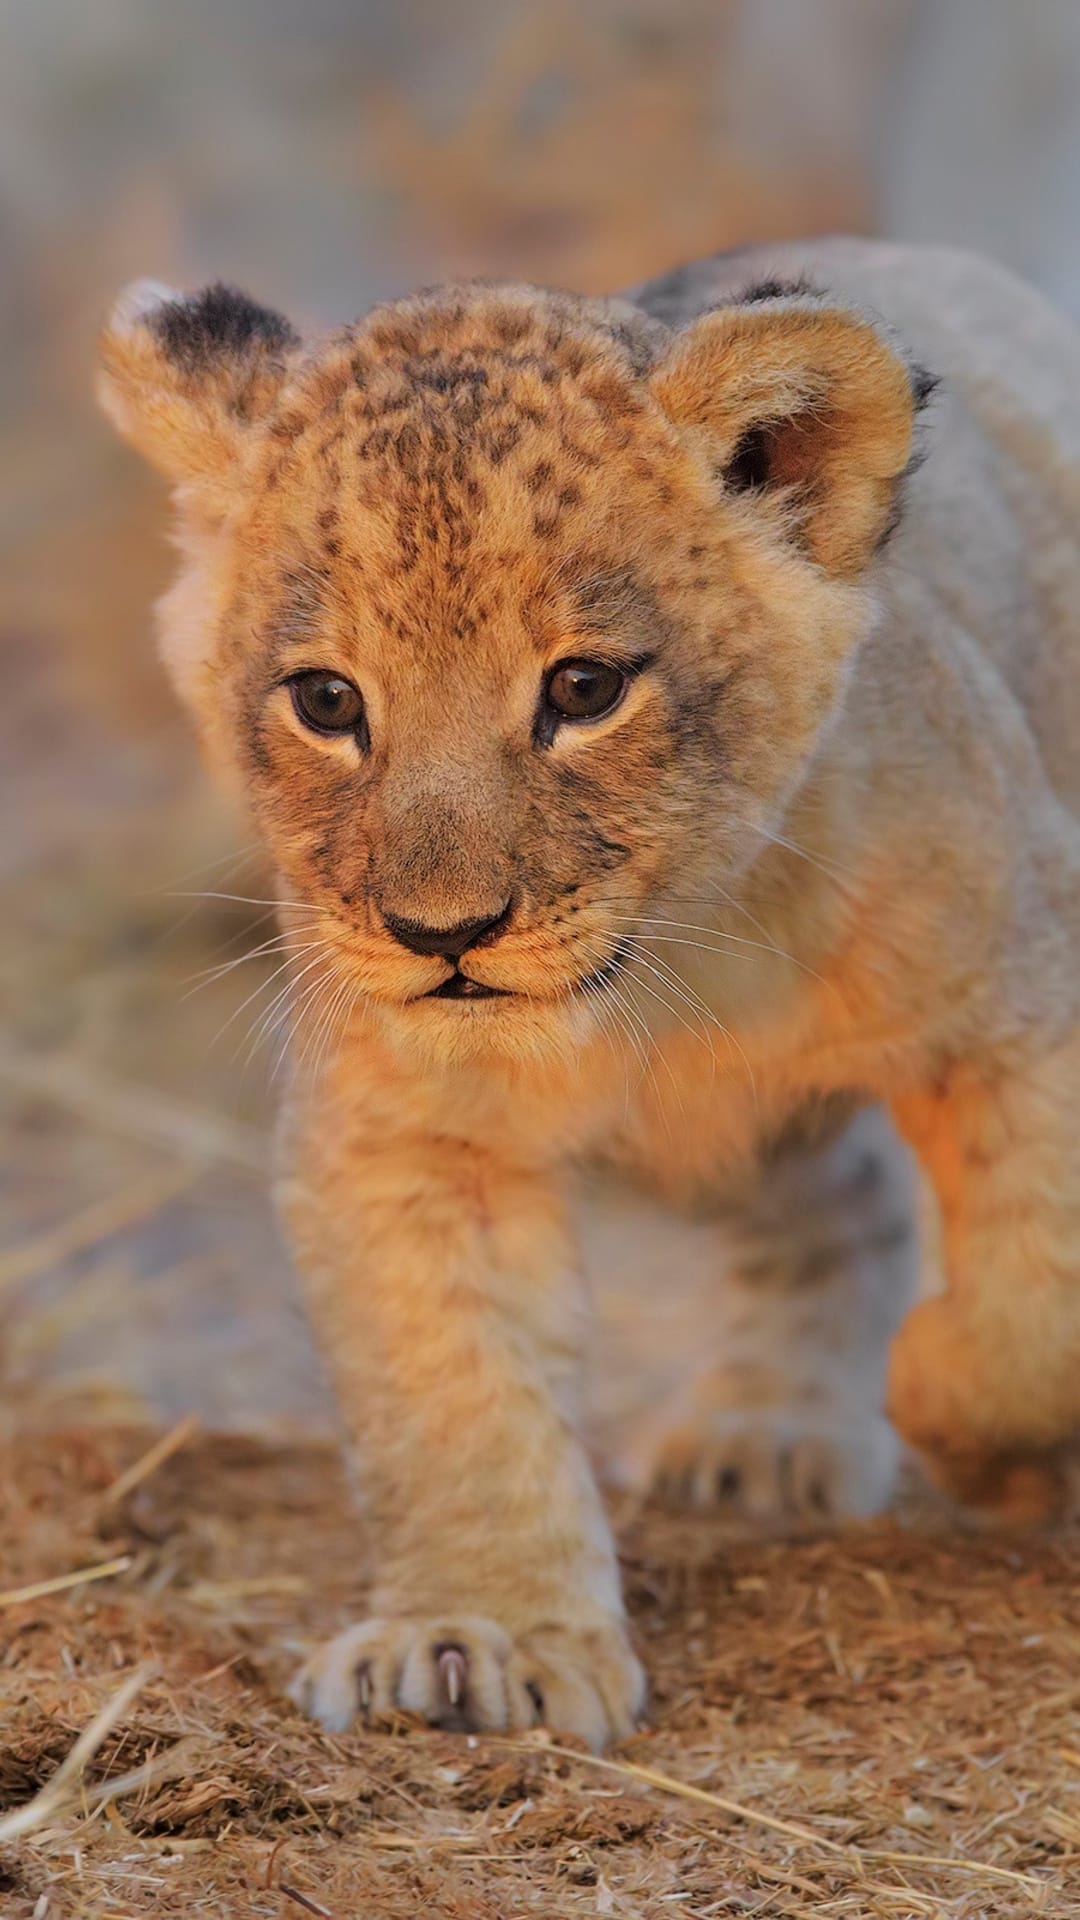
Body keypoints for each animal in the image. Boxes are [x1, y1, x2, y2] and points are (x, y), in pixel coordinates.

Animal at [97, 238, 1080, 1748]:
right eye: (327, 701)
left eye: (583, 687)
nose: (442, 933)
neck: (666, 983)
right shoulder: (405, 1135)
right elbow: (453, 1389)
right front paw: (479, 1636)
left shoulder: (1024, 997)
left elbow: (1037, 1298)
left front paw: (962, 1421)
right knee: (837, 1196)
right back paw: (768, 1432)